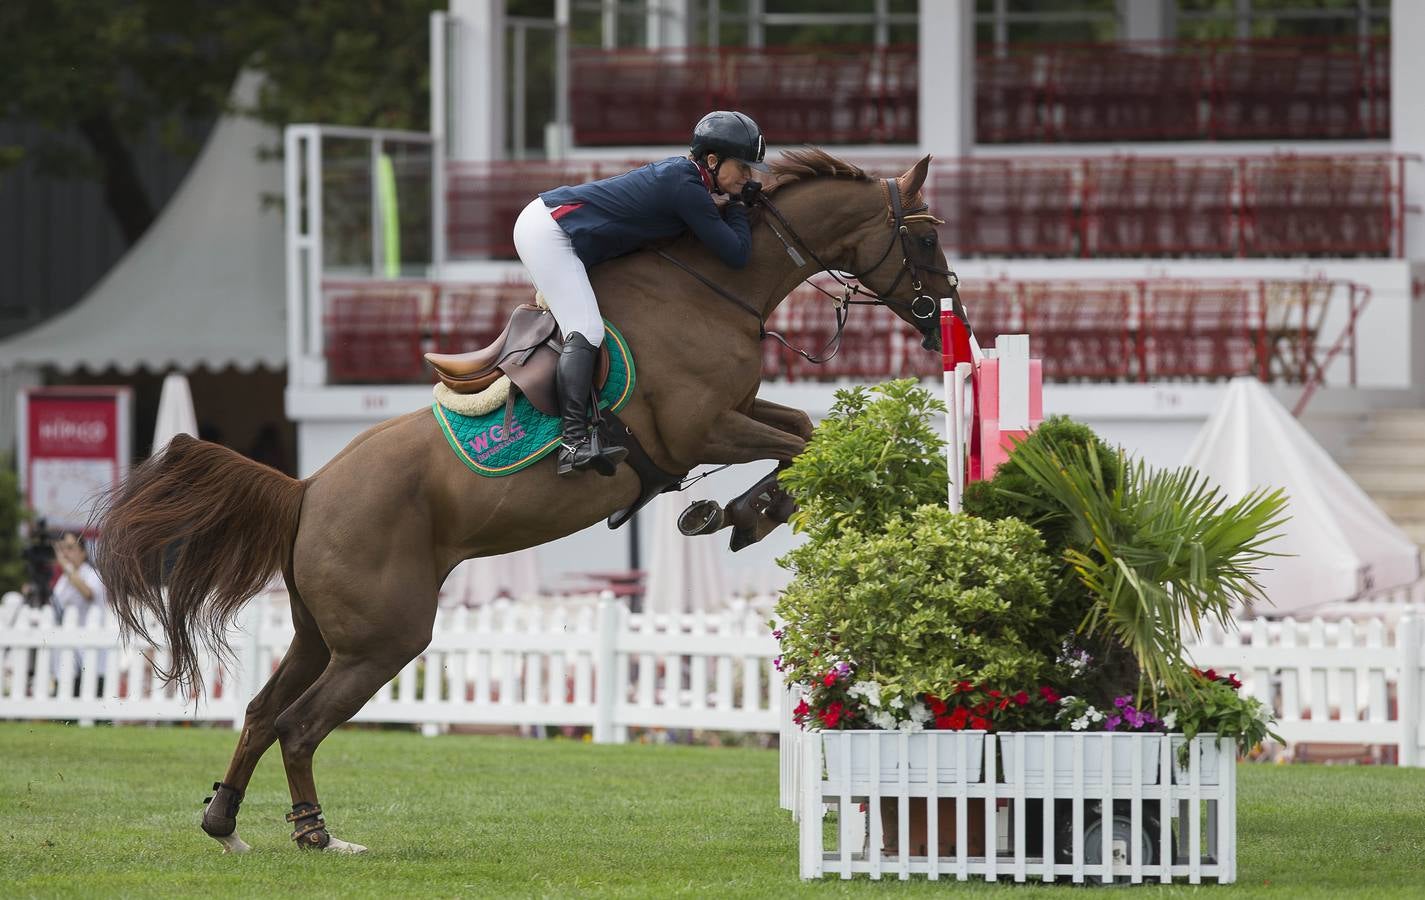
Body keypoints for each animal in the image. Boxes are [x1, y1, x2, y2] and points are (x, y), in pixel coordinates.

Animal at [97, 147, 957, 848]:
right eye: (923, 236)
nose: (940, 313)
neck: (716, 286)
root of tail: (305, 488)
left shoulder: (733, 415)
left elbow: (804, 430)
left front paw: (737, 513)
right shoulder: (704, 428)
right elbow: (804, 444)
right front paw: (737, 514)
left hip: (320, 634)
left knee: (258, 712)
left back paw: (224, 819)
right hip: (382, 639)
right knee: (298, 727)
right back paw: (314, 835)